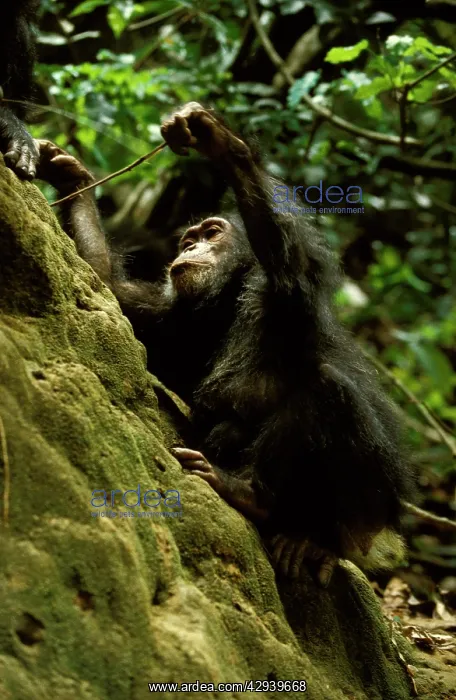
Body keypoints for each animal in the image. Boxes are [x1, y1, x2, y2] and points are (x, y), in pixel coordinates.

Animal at [35, 103, 416, 586]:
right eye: (188, 239)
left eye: (213, 233)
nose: (189, 249)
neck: (228, 298)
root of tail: (383, 540)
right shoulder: (168, 313)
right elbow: (103, 284)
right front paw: (71, 176)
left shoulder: (285, 291)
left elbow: (287, 262)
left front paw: (219, 142)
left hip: (360, 519)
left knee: (326, 387)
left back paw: (262, 503)